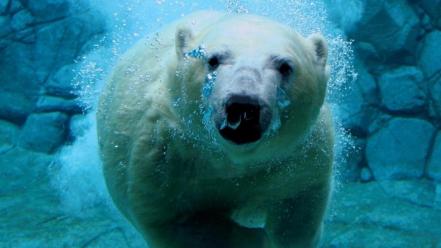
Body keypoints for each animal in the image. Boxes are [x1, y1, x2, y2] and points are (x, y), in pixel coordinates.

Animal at [97, 10, 334, 248]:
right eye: (212, 60)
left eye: (285, 66)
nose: (243, 105)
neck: (231, 160)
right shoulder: (165, 156)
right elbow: (173, 220)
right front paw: (256, 239)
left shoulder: (297, 158)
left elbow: (298, 209)